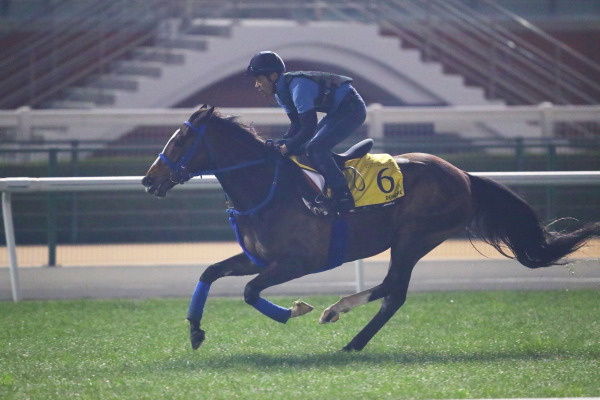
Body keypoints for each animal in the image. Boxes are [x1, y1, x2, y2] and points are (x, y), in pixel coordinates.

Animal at [142, 104, 600, 352]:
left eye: (181, 139)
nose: (149, 179)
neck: (267, 188)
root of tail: (465, 175)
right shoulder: (258, 257)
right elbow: (210, 272)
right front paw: (195, 330)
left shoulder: (300, 262)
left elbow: (252, 292)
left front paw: (295, 309)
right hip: (413, 239)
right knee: (393, 292)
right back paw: (350, 333)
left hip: (414, 237)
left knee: (394, 289)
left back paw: (341, 319)